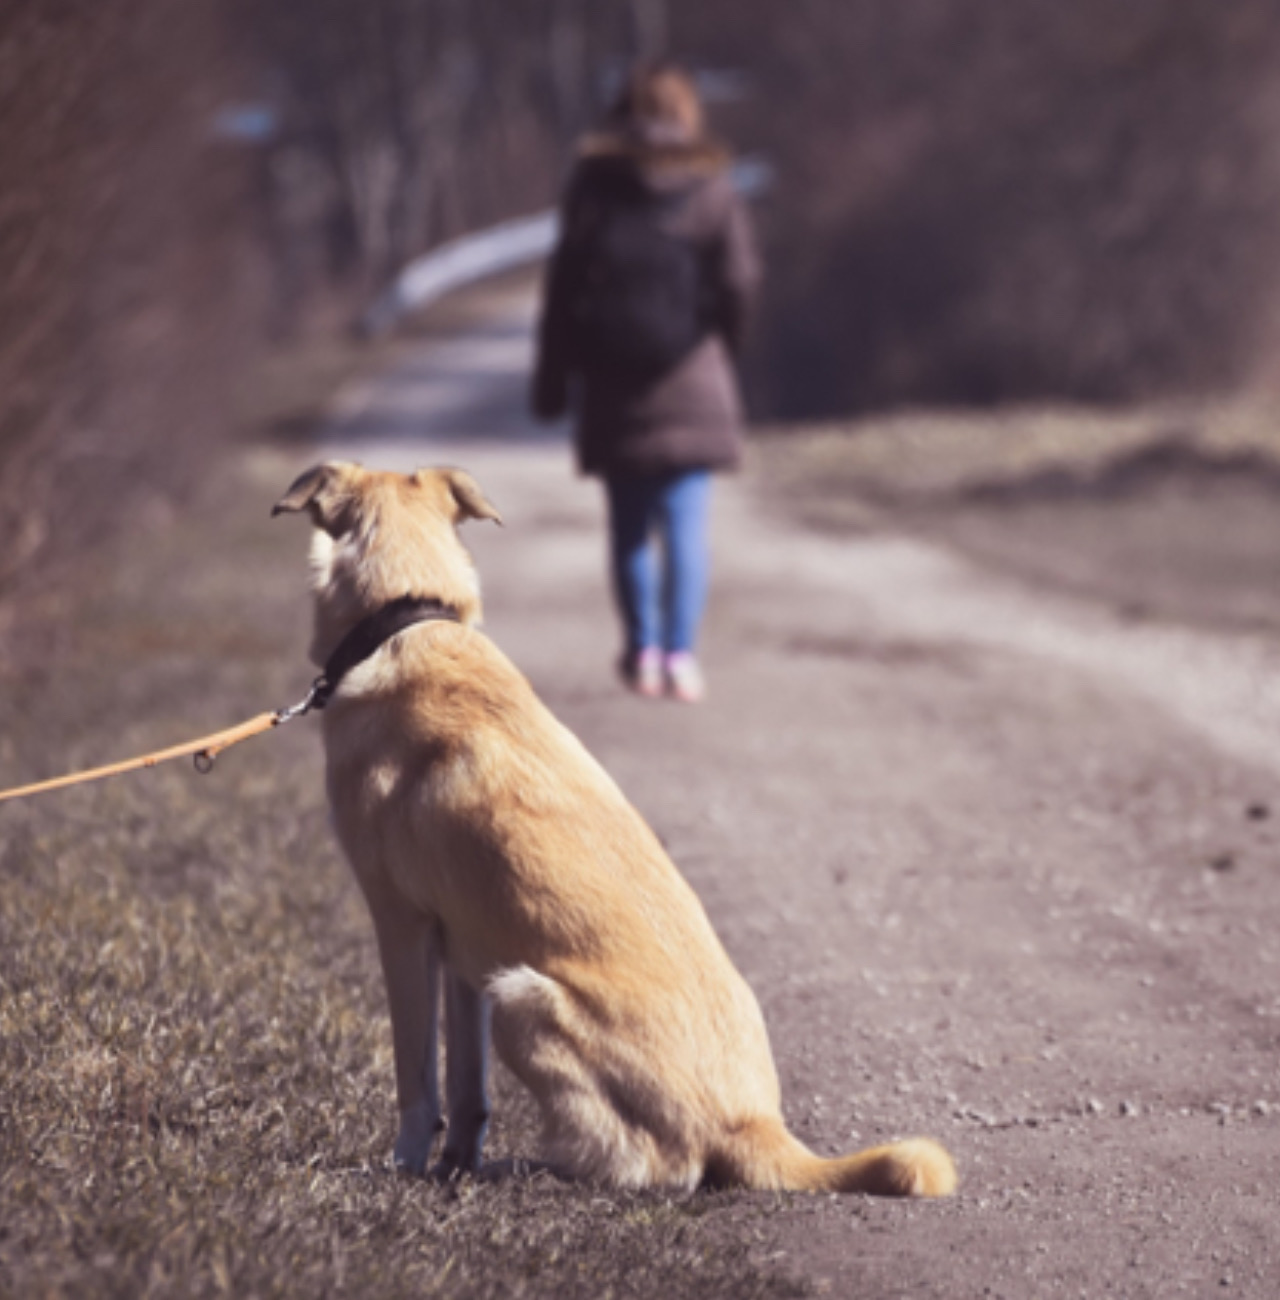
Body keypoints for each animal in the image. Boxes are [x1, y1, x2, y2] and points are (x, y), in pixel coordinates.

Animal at [276, 460, 956, 1196]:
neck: (406, 618)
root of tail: (753, 1125)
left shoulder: (401, 926)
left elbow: (417, 1080)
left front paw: (404, 1167)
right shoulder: (463, 950)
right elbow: (467, 1090)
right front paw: (454, 1164)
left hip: (523, 999)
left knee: (654, 1165)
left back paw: (541, 1165)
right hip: (501, 980)